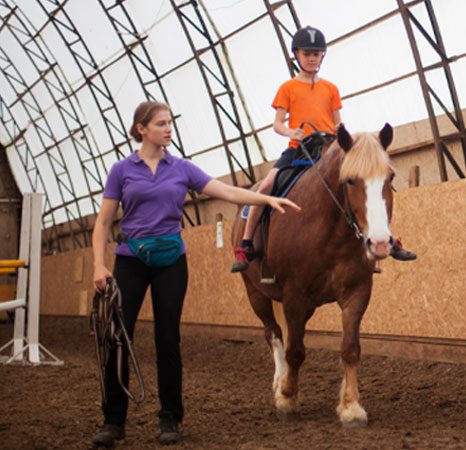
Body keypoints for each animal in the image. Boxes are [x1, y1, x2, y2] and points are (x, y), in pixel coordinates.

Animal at [231, 123, 396, 426]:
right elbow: (295, 351)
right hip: (255, 292)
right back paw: (279, 381)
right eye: (351, 180)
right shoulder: (294, 294)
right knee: (273, 334)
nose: (379, 243)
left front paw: (351, 406)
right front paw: (287, 399)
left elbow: (350, 348)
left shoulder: (357, 291)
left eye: (390, 177)